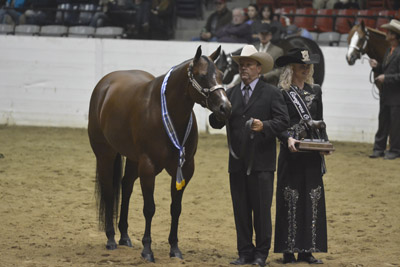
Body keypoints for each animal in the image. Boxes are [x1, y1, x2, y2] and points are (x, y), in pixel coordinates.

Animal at [87, 46, 231, 264]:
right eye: (202, 76)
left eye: (222, 75)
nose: (225, 107)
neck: (166, 112)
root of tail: (104, 85)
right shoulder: (148, 167)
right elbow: (149, 208)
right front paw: (147, 250)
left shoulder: (184, 169)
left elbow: (175, 208)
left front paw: (175, 248)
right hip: (105, 154)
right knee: (109, 190)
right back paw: (111, 238)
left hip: (132, 159)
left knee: (126, 186)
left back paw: (124, 236)